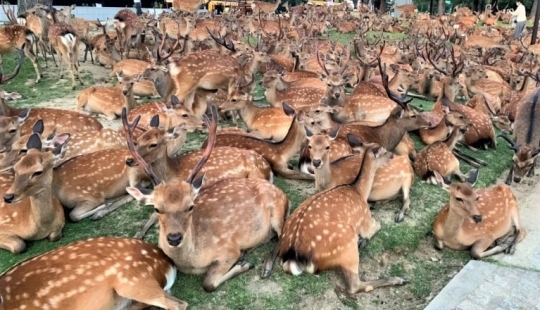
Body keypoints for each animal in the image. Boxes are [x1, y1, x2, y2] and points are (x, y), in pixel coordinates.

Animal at [125, 105, 292, 292]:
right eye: (157, 208)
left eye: (191, 206)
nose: (174, 238)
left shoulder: (228, 249)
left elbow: (208, 283)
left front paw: (244, 265)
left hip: (277, 209)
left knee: (282, 235)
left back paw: (264, 266)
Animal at [274, 137, 404, 294]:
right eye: (384, 151)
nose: (392, 155)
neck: (359, 191)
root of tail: (292, 255)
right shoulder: (365, 219)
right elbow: (378, 225)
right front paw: (364, 239)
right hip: (347, 243)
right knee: (354, 285)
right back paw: (398, 279)